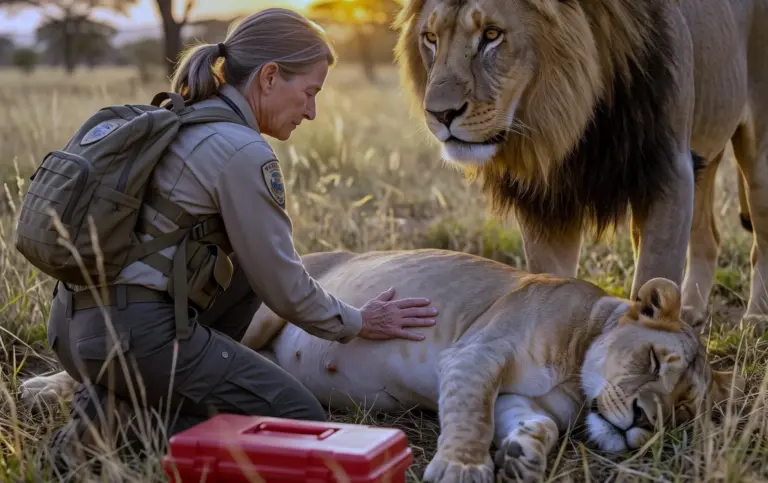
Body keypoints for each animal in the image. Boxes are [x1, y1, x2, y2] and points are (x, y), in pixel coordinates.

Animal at [20, 249, 744, 482]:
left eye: (683, 409)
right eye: (653, 359)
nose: (645, 421)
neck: (576, 363)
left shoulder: (528, 400)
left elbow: (529, 424)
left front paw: (522, 457)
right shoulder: (476, 353)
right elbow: (469, 414)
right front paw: (461, 467)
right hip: (264, 306)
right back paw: (41, 390)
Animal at [392, 0, 768, 330]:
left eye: (492, 34)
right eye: (431, 37)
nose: (439, 114)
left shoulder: (670, 171)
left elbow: (653, 275)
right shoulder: (546, 200)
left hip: (757, 158)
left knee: (760, 238)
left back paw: (755, 320)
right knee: (708, 238)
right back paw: (691, 311)